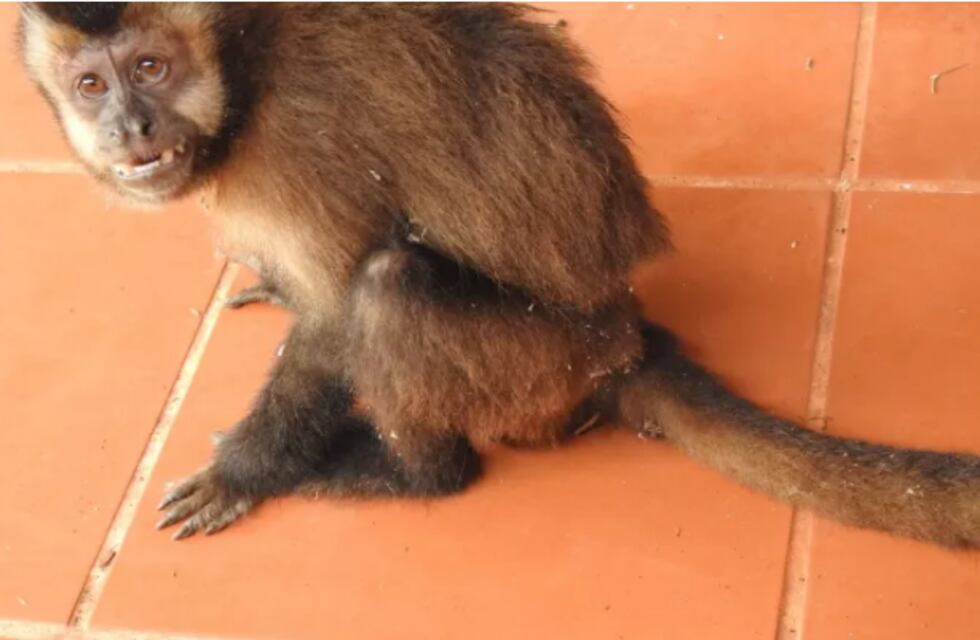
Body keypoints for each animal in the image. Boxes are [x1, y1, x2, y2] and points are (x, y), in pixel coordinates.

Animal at [18, 2, 980, 548]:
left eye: (151, 68)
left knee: (388, 287)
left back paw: (416, 476)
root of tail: (626, 335)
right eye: (91, 84)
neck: (244, 66)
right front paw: (269, 283)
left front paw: (248, 471)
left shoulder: (292, 145)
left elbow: (333, 314)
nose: (130, 127)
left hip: (539, 371)